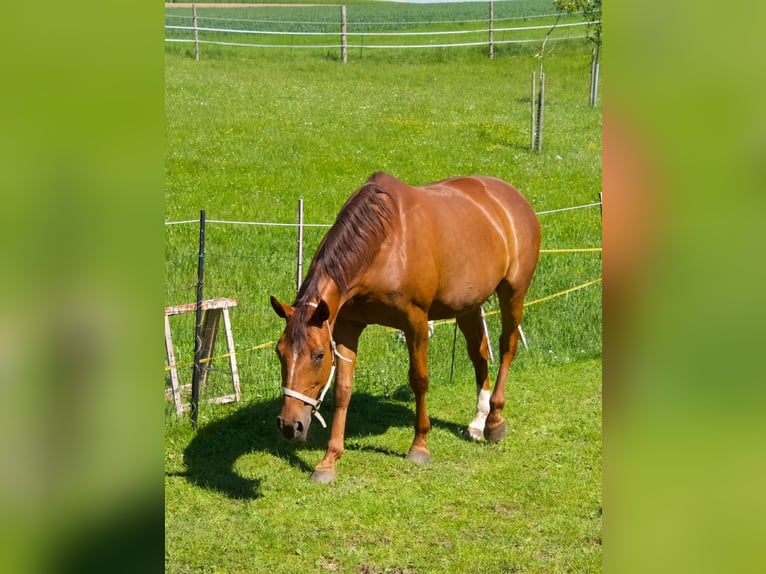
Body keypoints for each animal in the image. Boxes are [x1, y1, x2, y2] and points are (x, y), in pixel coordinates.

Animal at [270, 172, 540, 483]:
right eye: (280, 352)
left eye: (318, 355)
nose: (289, 425)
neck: (384, 244)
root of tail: (512, 197)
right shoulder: (347, 326)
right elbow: (342, 390)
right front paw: (329, 461)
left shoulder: (415, 322)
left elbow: (419, 380)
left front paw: (419, 446)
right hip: (468, 305)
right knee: (479, 354)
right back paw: (477, 421)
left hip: (513, 292)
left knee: (507, 347)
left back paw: (494, 421)